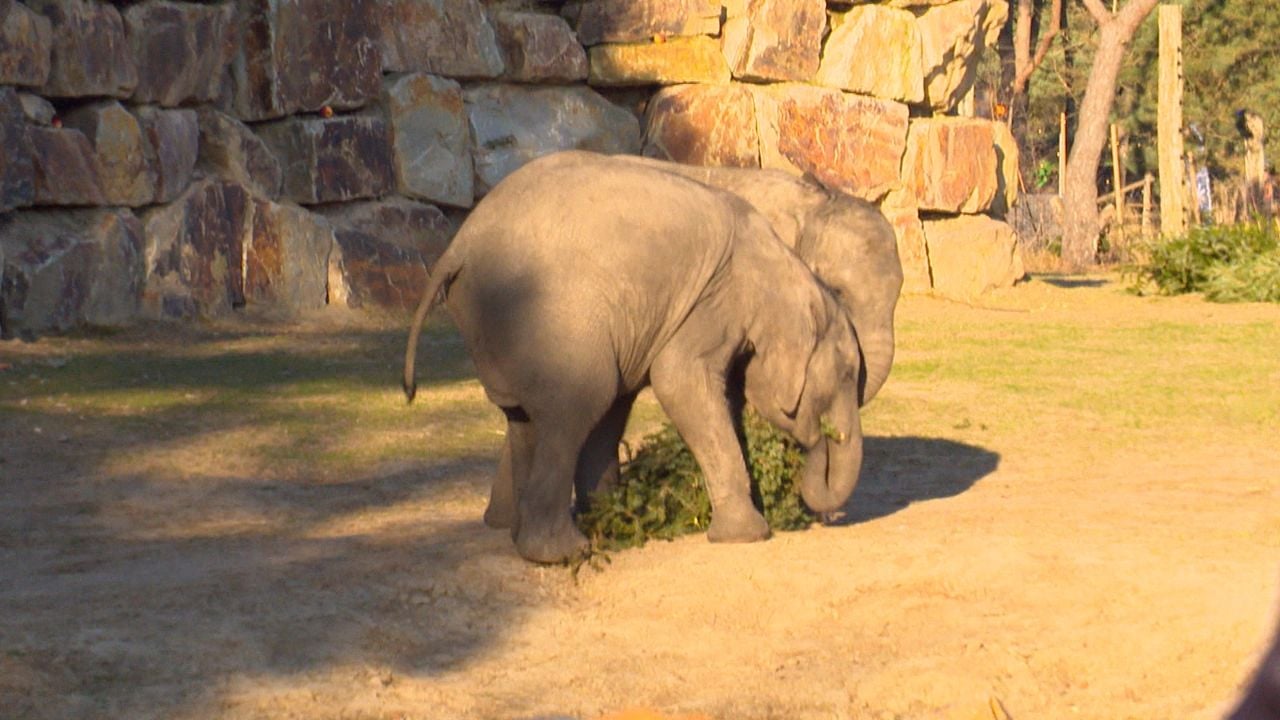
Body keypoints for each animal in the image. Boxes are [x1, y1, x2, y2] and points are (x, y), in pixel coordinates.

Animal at [404, 150, 866, 563]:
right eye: (846, 374)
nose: (818, 437)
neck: (786, 266)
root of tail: (458, 246)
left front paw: (616, 514)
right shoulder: (713, 303)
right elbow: (679, 383)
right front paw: (749, 535)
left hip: (494, 323)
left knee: (529, 419)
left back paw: (553, 535)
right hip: (555, 324)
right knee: (576, 407)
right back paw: (563, 552)